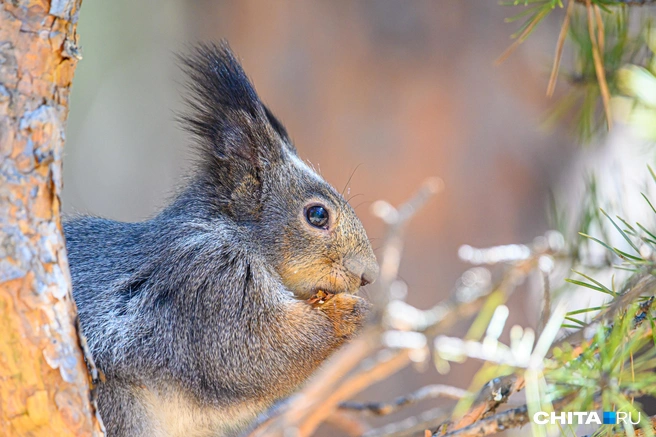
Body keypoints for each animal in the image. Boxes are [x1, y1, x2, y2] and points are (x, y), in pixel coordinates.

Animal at [64, 41, 380, 436]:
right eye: (318, 215)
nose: (369, 274)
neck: (233, 231)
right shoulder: (205, 281)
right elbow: (253, 350)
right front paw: (351, 313)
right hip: (118, 403)